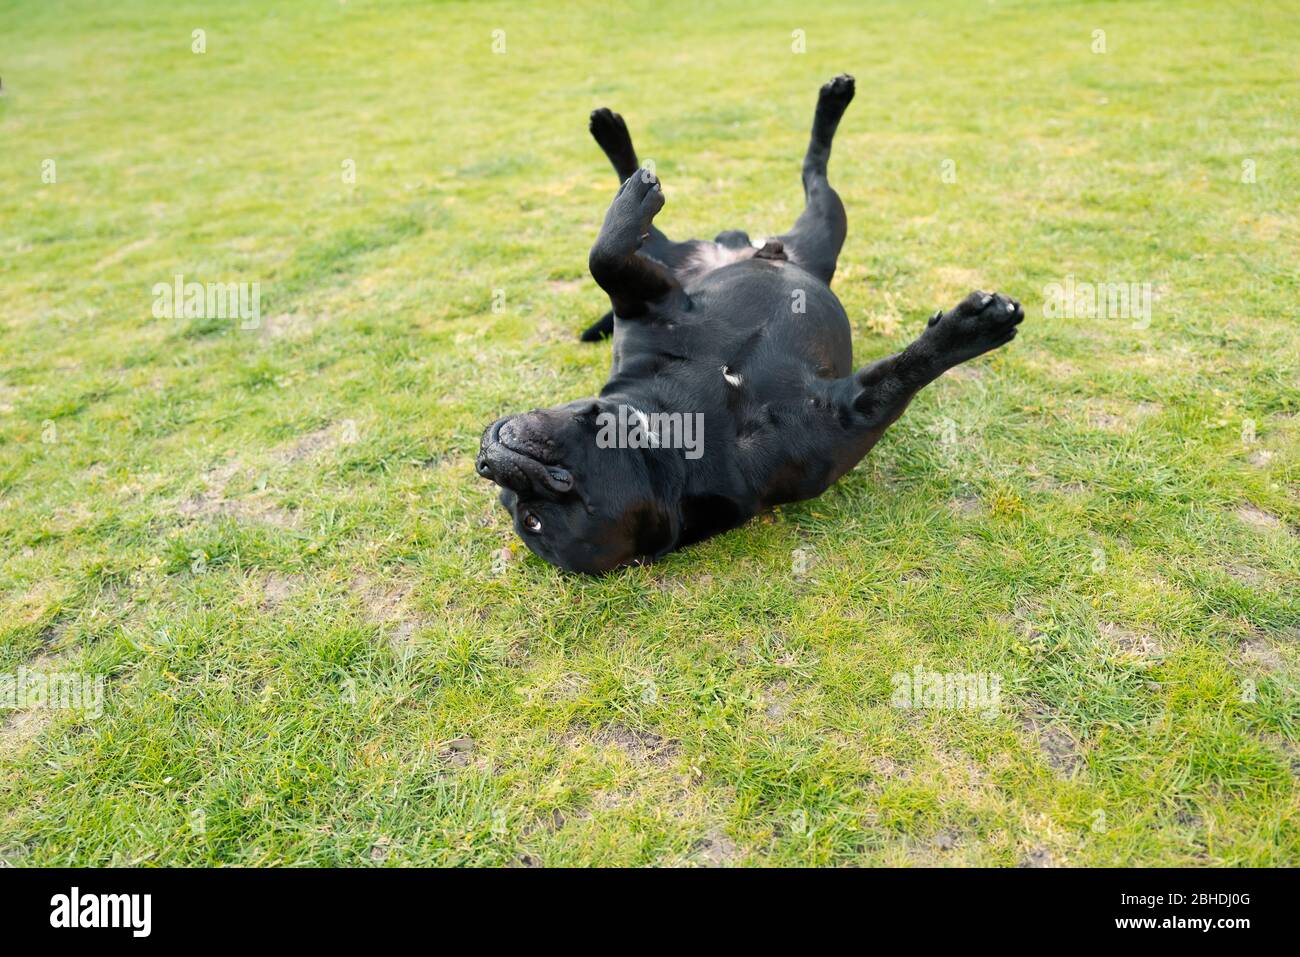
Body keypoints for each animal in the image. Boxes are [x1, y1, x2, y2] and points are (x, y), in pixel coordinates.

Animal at [478, 78, 1024, 572]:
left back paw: (623, 145)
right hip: (822, 231)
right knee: (814, 175)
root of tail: (753, 247)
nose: (487, 463)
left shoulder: (649, 302)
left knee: (787, 178)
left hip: (702, 251)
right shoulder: (849, 416)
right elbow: (909, 371)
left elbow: (603, 257)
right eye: (531, 519)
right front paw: (976, 331)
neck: (676, 431)